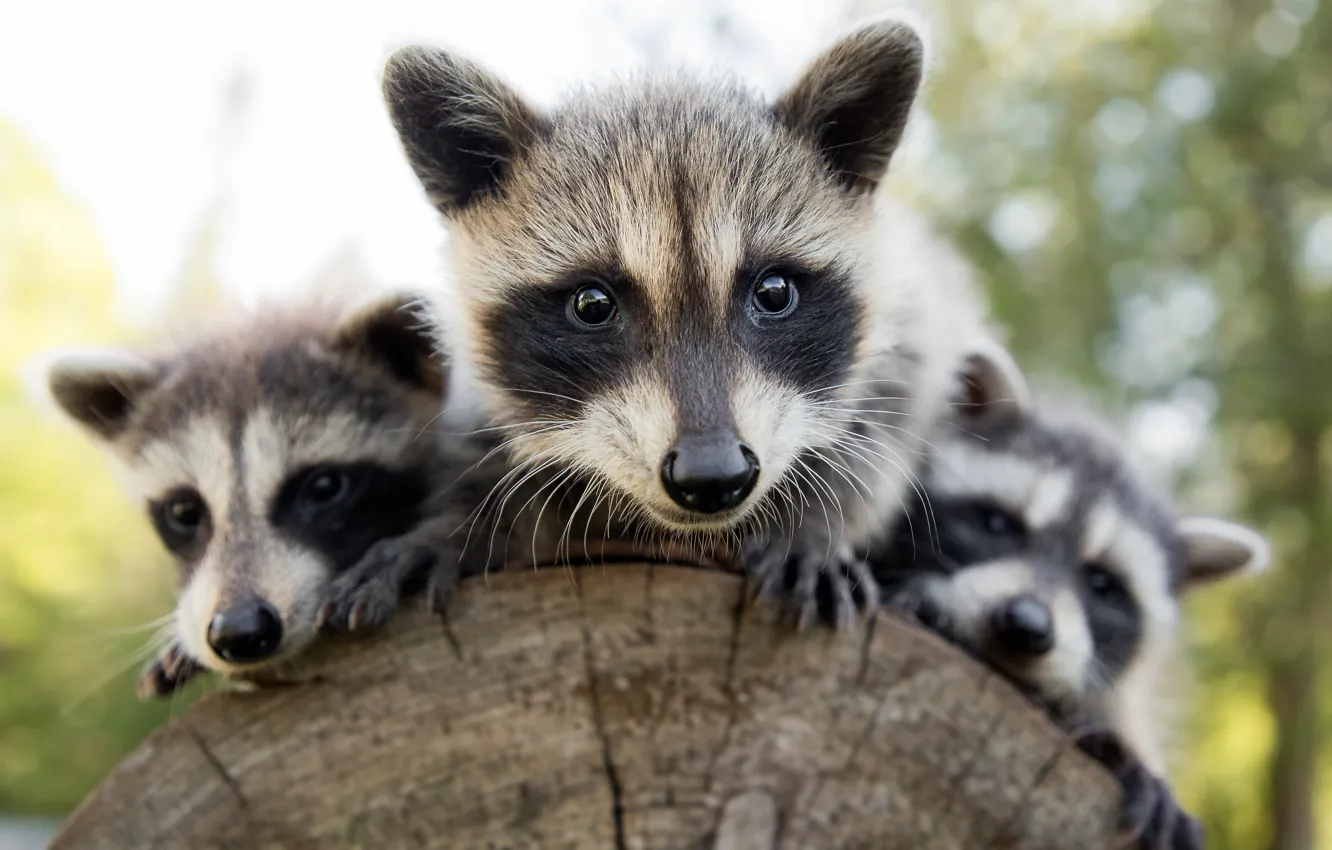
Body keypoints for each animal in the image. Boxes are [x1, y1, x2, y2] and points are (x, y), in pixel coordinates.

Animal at [382, 14, 996, 626]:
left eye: (774, 293)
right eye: (591, 305)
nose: (713, 474)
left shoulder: (916, 313)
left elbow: (885, 425)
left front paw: (814, 523)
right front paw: (463, 523)